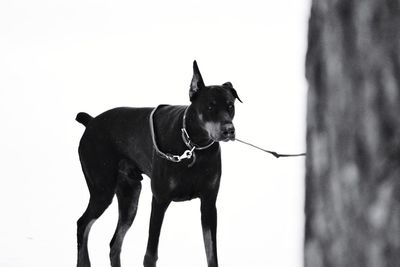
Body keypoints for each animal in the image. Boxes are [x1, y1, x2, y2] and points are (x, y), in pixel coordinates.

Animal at [76, 61, 242, 267]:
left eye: (230, 106)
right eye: (210, 107)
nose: (229, 130)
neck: (193, 146)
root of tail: (91, 122)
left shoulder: (209, 204)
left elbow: (211, 254)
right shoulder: (160, 200)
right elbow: (150, 255)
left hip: (130, 195)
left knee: (114, 243)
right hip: (102, 191)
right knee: (83, 224)